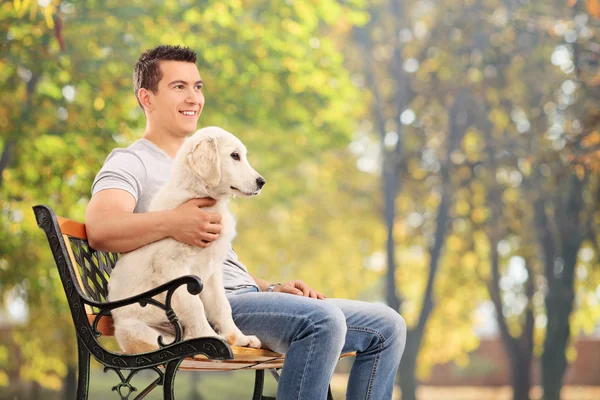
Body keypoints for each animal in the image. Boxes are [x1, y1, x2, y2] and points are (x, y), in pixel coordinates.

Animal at [107, 126, 264, 354]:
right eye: (235, 156)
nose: (262, 182)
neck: (199, 196)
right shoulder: (174, 268)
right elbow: (194, 306)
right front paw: (208, 336)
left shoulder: (212, 270)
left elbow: (221, 305)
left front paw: (239, 337)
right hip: (136, 331)